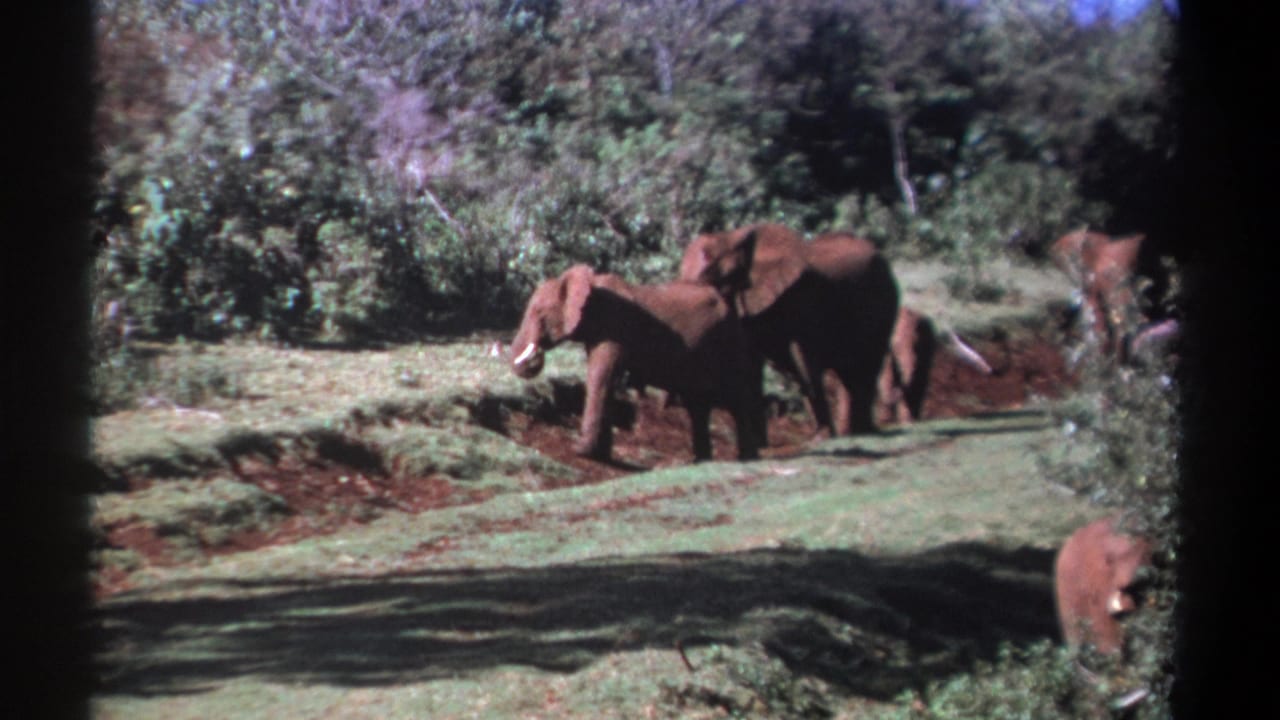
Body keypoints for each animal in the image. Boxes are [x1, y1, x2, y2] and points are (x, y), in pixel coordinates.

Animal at [510, 264, 762, 463]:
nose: (534, 355)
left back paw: (746, 459)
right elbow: (606, 380)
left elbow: (601, 375)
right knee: (697, 403)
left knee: (736, 397)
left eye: (539, 313)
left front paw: (580, 451)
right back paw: (701, 461)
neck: (591, 285)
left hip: (729, 340)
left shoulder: (615, 326)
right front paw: (600, 454)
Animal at [679, 224, 900, 439]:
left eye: (711, 266)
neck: (733, 235)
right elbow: (751, 365)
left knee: (867, 366)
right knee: (849, 374)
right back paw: (856, 432)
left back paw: (862, 431)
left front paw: (822, 437)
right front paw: (761, 445)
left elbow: (804, 361)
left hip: (884, 301)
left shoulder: (802, 297)